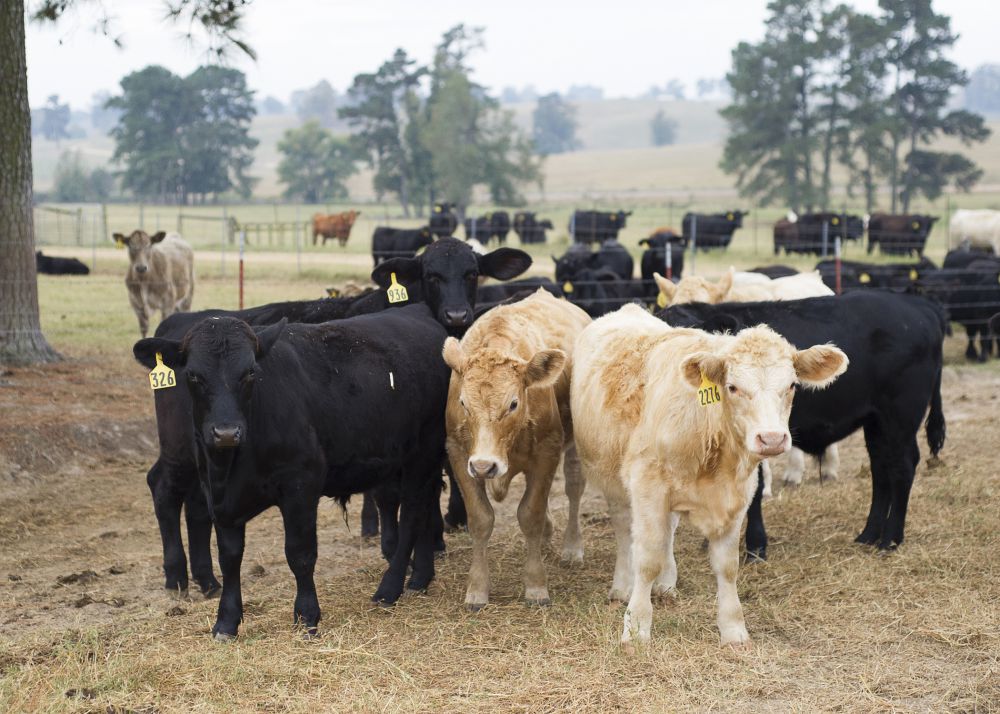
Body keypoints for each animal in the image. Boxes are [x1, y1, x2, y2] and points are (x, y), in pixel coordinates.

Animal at [134, 305, 450, 639]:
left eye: (251, 372)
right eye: (193, 375)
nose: (226, 432)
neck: (233, 465)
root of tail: (415, 312)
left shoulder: (300, 484)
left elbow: (300, 553)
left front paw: (307, 614)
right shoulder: (218, 495)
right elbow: (230, 557)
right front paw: (227, 621)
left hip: (423, 451)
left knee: (413, 513)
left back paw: (390, 588)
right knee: (425, 506)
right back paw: (420, 577)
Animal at [142, 238, 533, 598]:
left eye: (472, 273)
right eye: (430, 275)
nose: (457, 315)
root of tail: (177, 321)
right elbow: (390, 497)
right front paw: (396, 549)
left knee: (195, 505)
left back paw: (206, 579)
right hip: (182, 448)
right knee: (164, 488)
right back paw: (177, 575)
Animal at [443, 290, 591, 609]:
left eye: (513, 403)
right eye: (463, 403)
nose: (485, 466)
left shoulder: (547, 451)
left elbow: (530, 514)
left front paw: (536, 585)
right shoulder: (459, 454)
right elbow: (481, 519)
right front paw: (477, 588)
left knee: (574, 488)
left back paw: (572, 547)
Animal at [573, 304, 847, 646]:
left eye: (792, 386)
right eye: (733, 387)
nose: (771, 439)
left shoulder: (739, 495)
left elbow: (726, 566)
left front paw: (733, 630)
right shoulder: (648, 487)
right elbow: (647, 559)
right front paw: (636, 629)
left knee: (669, 530)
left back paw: (666, 583)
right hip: (612, 479)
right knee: (625, 529)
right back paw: (622, 586)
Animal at [662, 291, 947, 559]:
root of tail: (919, 305)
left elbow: (755, 491)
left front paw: (755, 547)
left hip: (900, 418)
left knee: (903, 466)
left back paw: (890, 539)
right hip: (877, 422)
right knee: (881, 467)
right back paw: (869, 534)